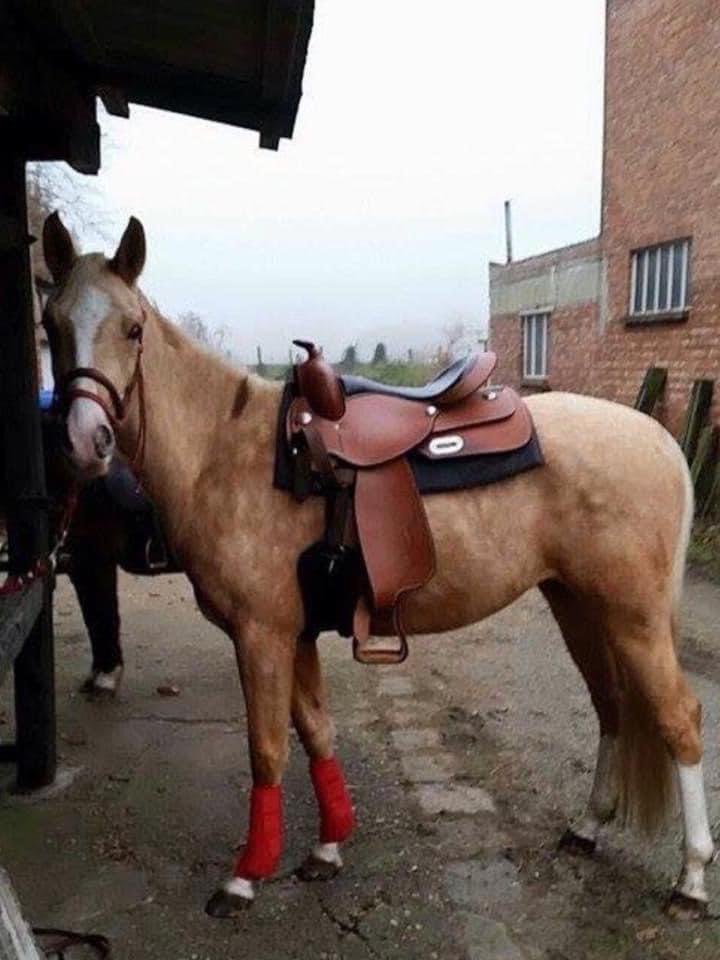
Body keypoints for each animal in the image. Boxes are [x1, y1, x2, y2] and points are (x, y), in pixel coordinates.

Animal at [40, 210, 715, 920]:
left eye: (132, 328)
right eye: (50, 324)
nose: (85, 441)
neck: (225, 454)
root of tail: (659, 439)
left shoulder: (261, 636)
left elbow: (267, 750)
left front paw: (246, 876)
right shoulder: (295, 635)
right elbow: (316, 733)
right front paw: (327, 847)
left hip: (634, 618)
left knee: (679, 721)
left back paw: (691, 879)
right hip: (579, 606)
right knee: (611, 706)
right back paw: (587, 827)